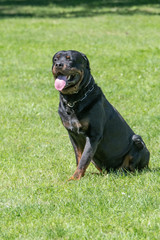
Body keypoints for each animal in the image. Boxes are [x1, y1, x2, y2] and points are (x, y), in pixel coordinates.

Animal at [51, 49, 150, 179]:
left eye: (69, 59)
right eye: (55, 59)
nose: (58, 65)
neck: (74, 100)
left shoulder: (94, 135)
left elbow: (84, 159)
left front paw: (74, 178)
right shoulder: (72, 135)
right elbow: (79, 157)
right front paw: (78, 176)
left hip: (137, 141)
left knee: (133, 168)